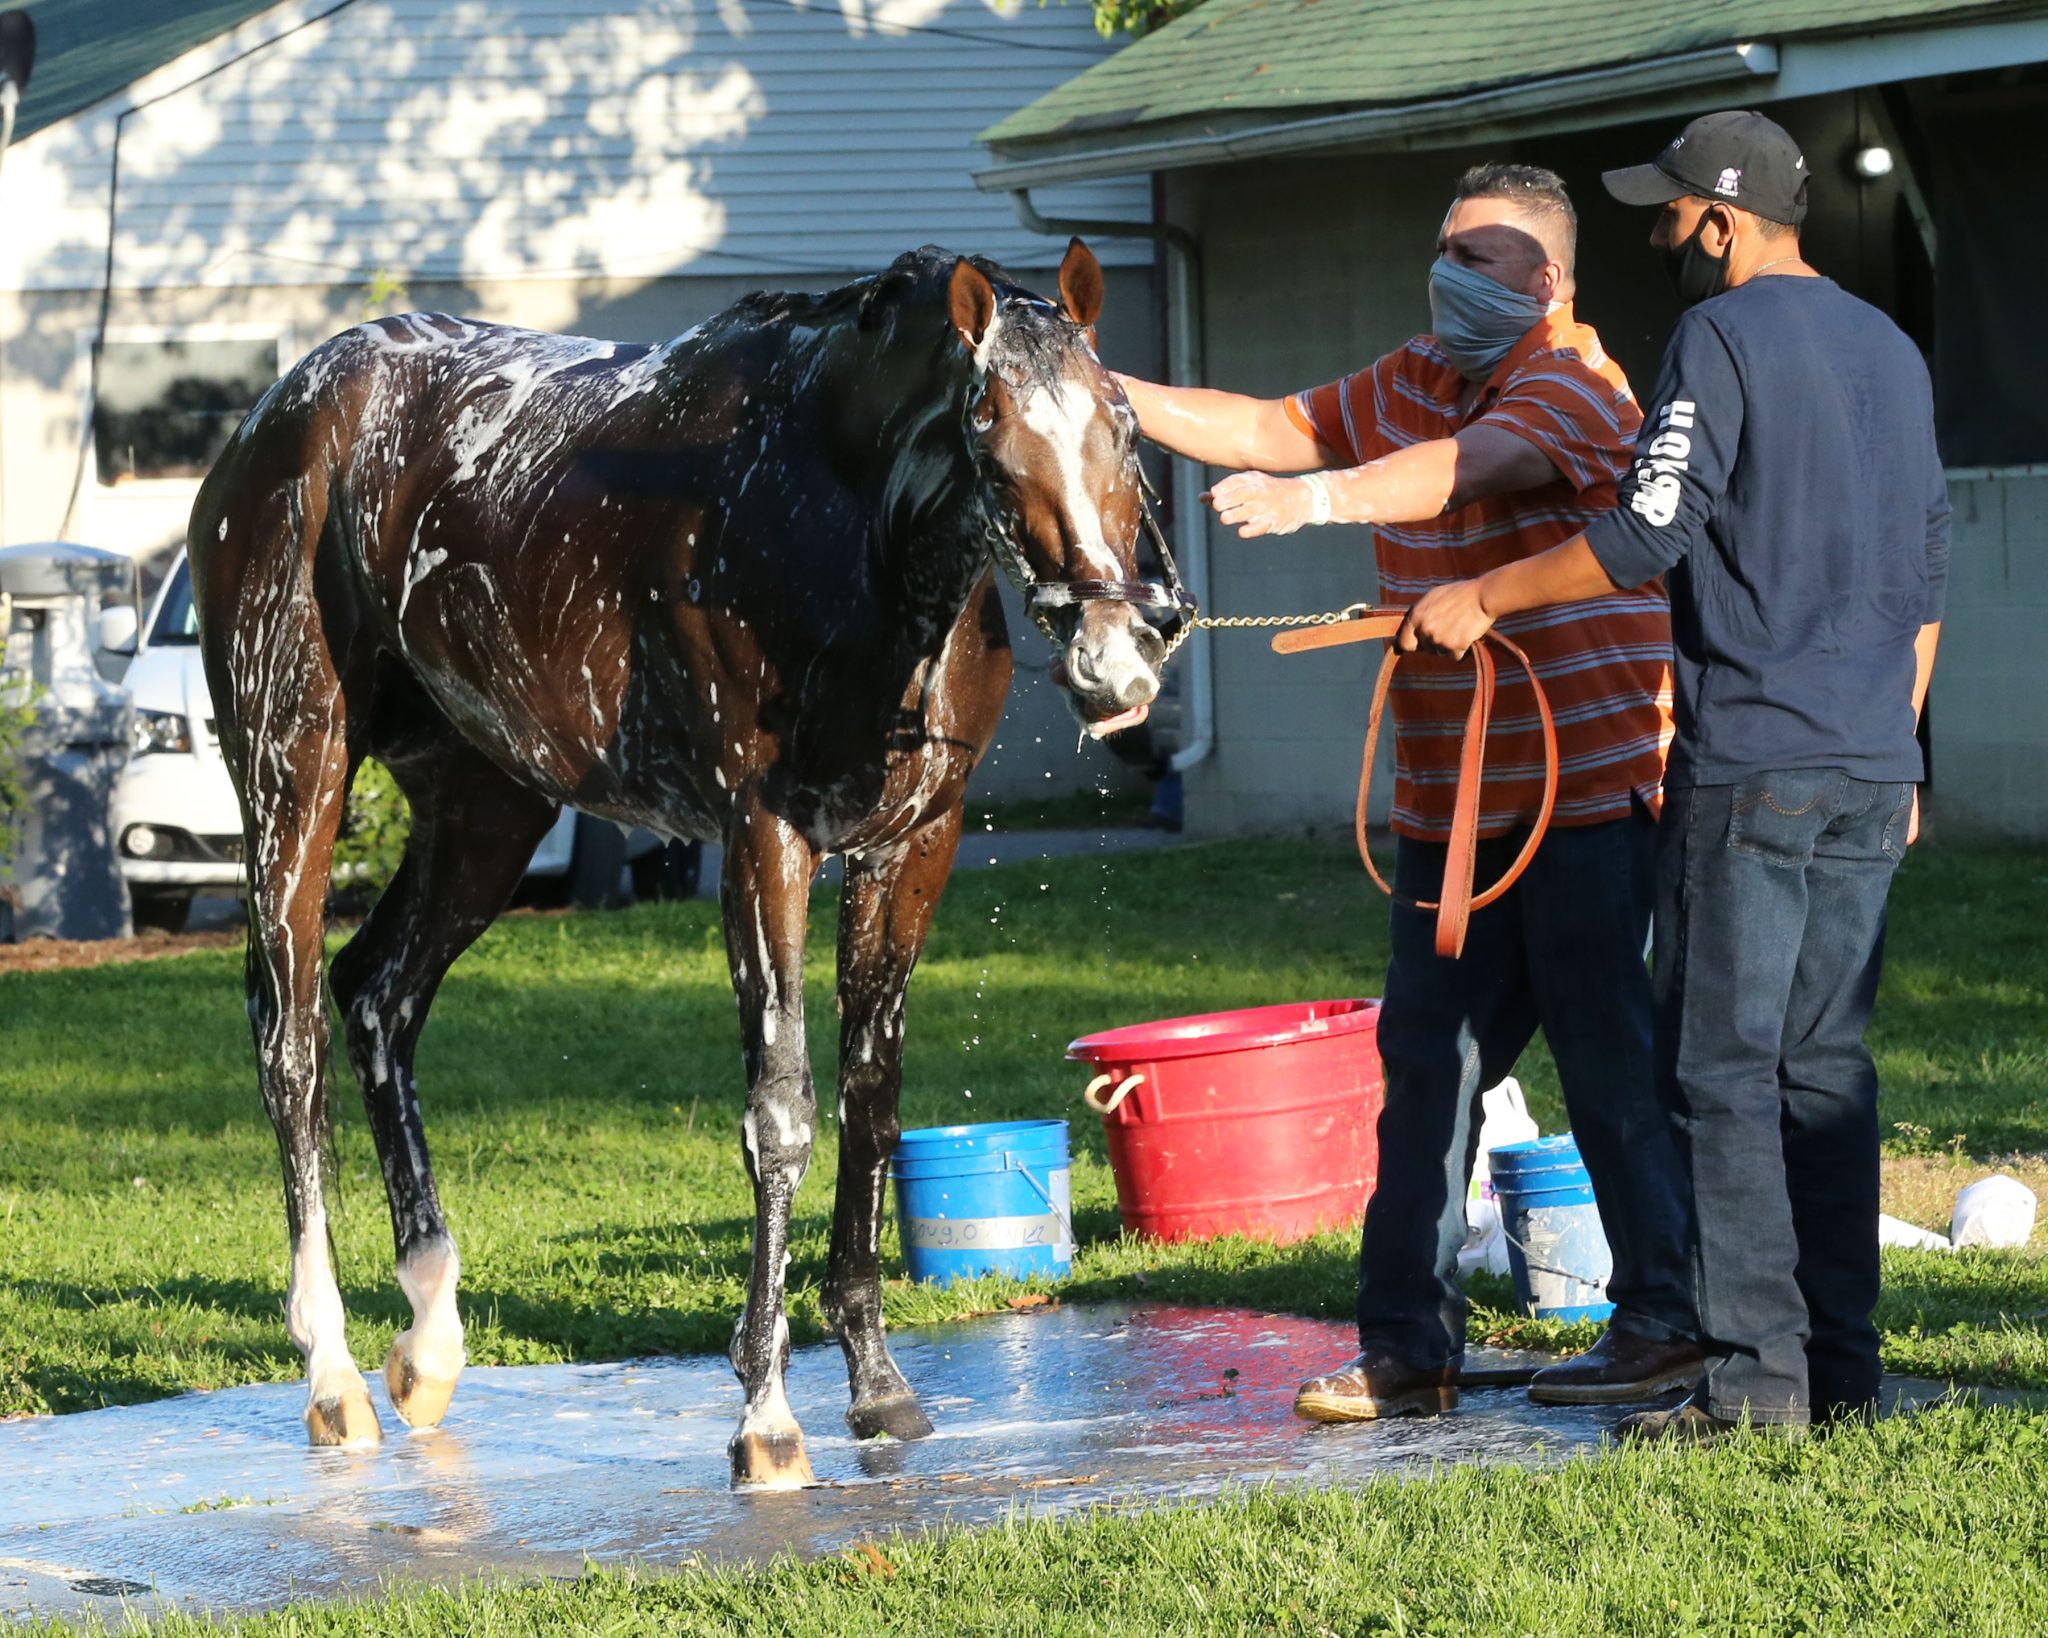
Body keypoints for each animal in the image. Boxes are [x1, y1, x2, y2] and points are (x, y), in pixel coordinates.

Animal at [193, 239, 1187, 1482]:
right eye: (988, 428)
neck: (838, 527)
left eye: (1122, 422)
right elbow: (782, 1111)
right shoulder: (765, 843)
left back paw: (427, 1339)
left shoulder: (912, 845)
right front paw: (765, 1414)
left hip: (487, 810)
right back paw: (331, 1377)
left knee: (379, 993)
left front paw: (876, 1384)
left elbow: (870, 1100)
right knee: (291, 1047)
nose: (1115, 660)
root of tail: (276, 415)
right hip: (295, 775)